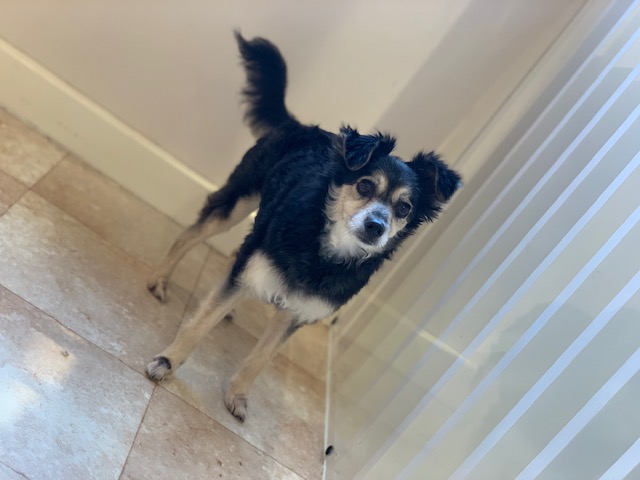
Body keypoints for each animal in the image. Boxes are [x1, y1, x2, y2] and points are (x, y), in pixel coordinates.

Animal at [144, 32, 461, 422]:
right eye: (365, 186)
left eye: (404, 208)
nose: (376, 226)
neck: (324, 252)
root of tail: (302, 126)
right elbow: (199, 325)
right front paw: (167, 361)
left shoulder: (299, 313)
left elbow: (262, 357)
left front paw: (237, 395)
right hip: (238, 201)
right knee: (189, 236)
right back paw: (160, 278)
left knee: (235, 255)